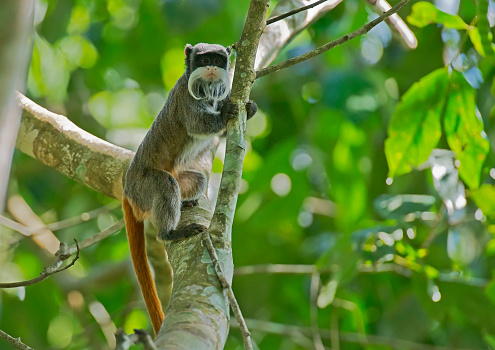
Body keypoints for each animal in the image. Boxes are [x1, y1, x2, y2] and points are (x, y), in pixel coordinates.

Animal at [122, 42, 258, 334]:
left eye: (218, 60)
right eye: (204, 60)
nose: (211, 67)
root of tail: (127, 191)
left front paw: (249, 109)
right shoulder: (185, 98)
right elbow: (197, 124)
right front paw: (227, 113)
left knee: (197, 180)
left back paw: (187, 202)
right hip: (142, 186)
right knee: (165, 184)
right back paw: (170, 233)